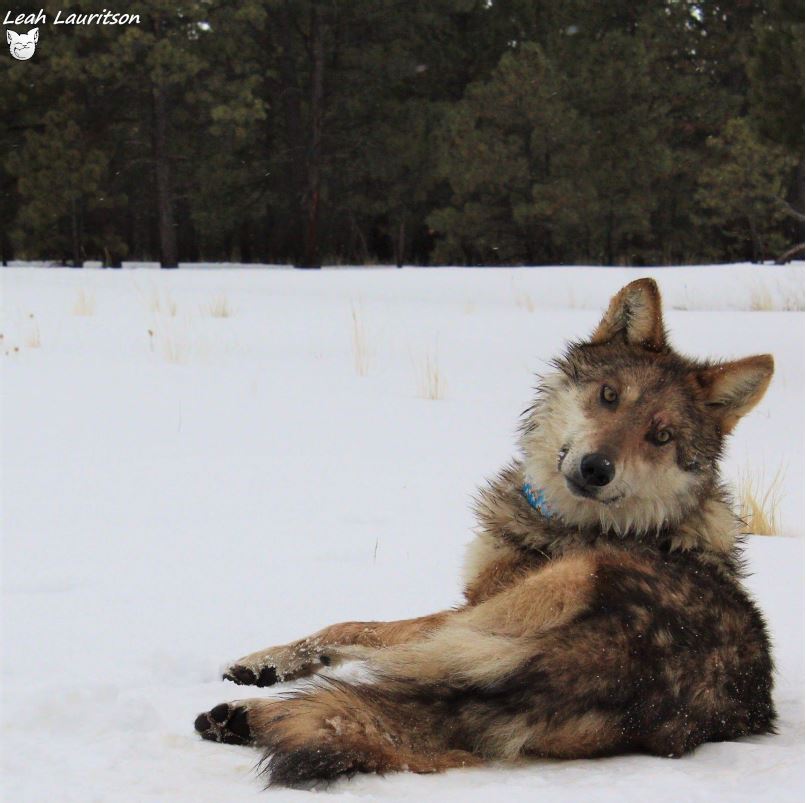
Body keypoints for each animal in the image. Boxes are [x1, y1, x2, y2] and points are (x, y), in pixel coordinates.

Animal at [194, 282, 776, 792]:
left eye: (661, 436)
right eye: (610, 396)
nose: (596, 468)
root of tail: (616, 659)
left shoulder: (466, 605)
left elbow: (350, 625)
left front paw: (263, 660)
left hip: (488, 622)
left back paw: (241, 716)